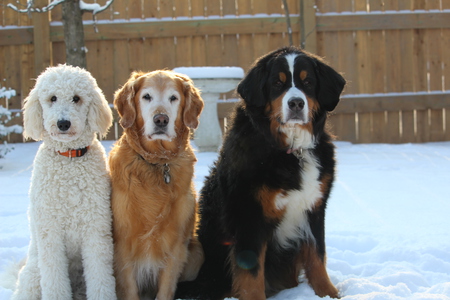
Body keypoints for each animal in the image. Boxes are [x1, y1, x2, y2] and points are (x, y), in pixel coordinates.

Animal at [13, 65, 117, 300]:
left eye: (76, 98)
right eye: (52, 98)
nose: (63, 123)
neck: (69, 159)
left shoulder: (95, 228)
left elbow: (100, 276)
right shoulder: (50, 232)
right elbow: (54, 280)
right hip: (34, 275)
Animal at [110, 71, 205, 300]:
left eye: (173, 98)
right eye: (147, 97)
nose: (161, 120)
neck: (156, 163)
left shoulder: (176, 246)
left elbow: (165, 289)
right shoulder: (122, 245)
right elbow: (130, 291)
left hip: (197, 253)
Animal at [176, 46, 344, 300]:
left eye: (308, 82)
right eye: (277, 83)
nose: (296, 103)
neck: (290, 151)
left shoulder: (314, 208)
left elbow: (317, 256)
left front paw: (327, 294)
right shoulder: (249, 216)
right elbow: (252, 274)